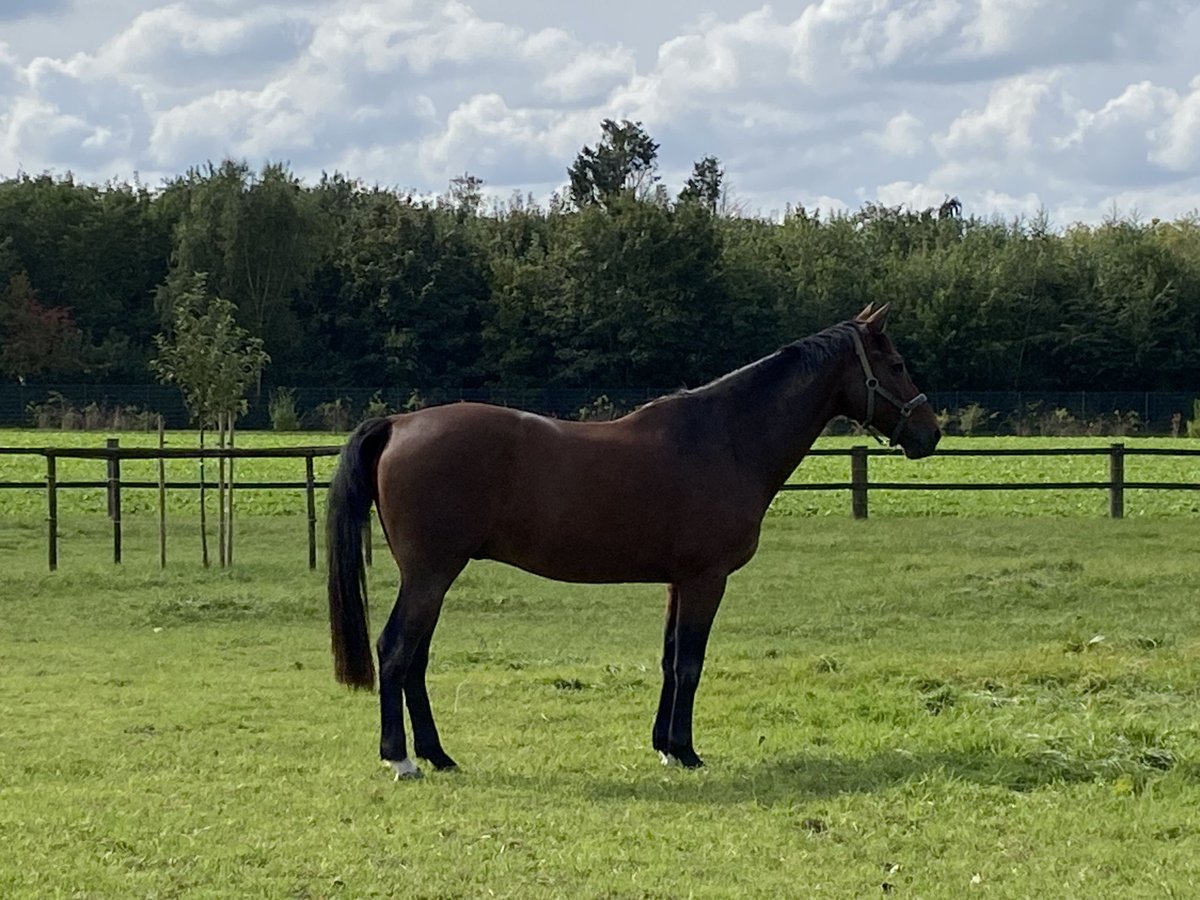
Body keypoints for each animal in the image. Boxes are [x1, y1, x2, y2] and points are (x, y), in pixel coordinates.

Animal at [326, 307, 936, 777]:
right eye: (897, 365)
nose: (930, 432)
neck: (726, 438)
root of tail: (399, 424)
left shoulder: (678, 582)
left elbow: (668, 659)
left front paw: (664, 747)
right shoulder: (706, 580)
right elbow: (690, 662)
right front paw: (687, 752)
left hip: (434, 577)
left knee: (416, 659)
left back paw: (438, 755)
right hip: (430, 574)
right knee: (396, 651)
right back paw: (401, 759)